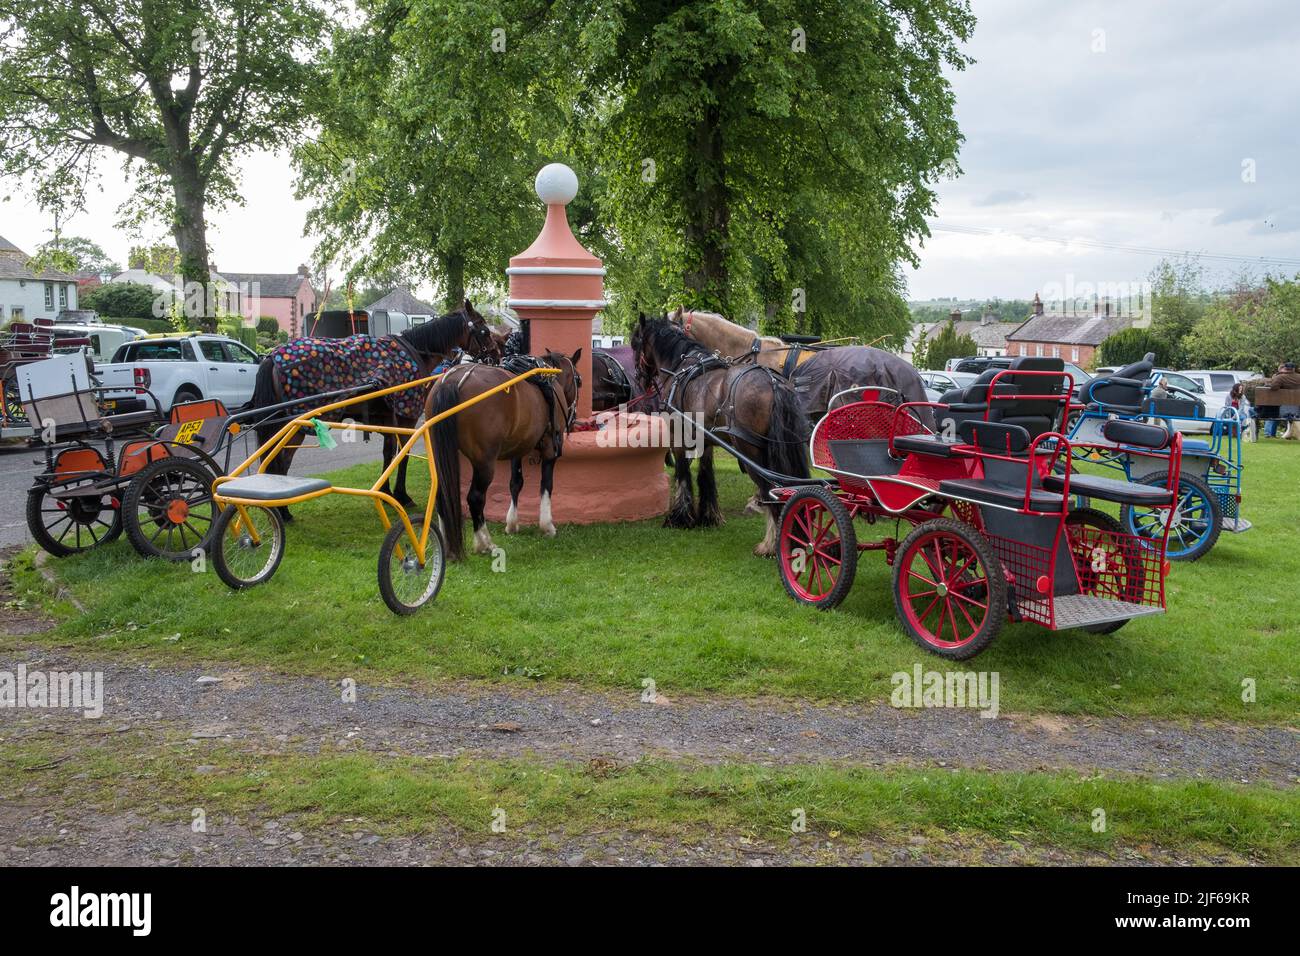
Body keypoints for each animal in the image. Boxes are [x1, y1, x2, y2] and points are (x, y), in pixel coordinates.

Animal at [249, 303, 496, 520]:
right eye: (484, 328)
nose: (495, 352)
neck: (413, 351)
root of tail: (272, 357)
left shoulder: (387, 417)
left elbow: (388, 452)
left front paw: (386, 490)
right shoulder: (406, 417)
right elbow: (403, 454)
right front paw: (401, 495)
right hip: (295, 426)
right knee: (281, 462)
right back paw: (283, 511)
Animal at [428, 348, 582, 561]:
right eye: (579, 381)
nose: (574, 419)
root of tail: (452, 380)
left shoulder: (518, 448)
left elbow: (515, 483)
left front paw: (512, 523)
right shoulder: (550, 447)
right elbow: (546, 485)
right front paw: (547, 526)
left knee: (442, 494)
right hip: (484, 462)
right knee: (475, 498)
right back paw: (485, 543)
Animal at [631, 316, 811, 554]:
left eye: (635, 342)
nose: (638, 378)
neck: (682, 368)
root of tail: (773, 383)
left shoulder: (677, 437)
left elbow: (682, 475)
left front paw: (679, 518)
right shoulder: (705, 440)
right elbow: (705, 475)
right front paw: (708, 517)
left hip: (751, 452)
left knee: (769, 490)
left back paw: (770, 545)